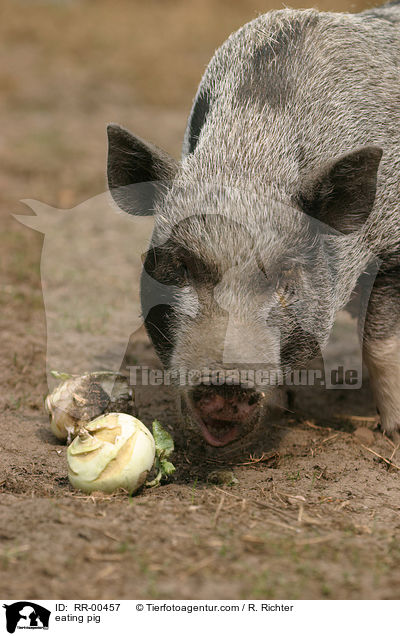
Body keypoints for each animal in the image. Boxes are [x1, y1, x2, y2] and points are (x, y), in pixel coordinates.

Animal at [106, 1, 400, 448]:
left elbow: (381, 345)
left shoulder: (393, 251)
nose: (224, 384)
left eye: (283, 276)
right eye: (180, 267)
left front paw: (393, 434)